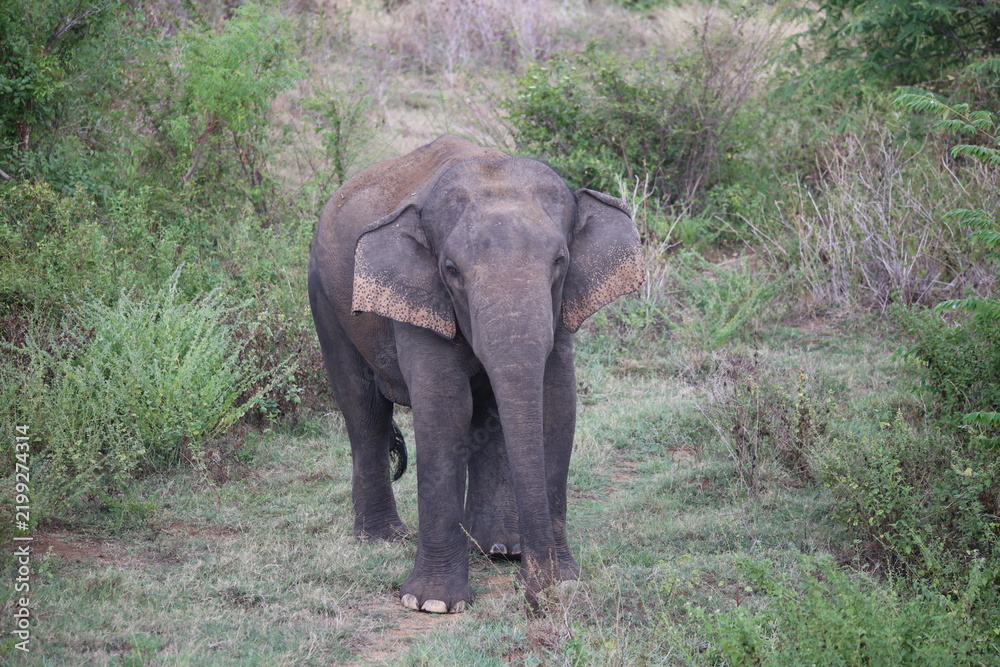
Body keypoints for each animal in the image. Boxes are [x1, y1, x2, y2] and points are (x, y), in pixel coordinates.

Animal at [308, 135, 643, 614]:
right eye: (451, 270)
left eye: (560, 261)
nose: (538, 595)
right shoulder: (421, 297)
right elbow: (445, 407)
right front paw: (432, 604)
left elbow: (555, 403)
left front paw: (563, 582)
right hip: (324, 298)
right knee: (363, 409)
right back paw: (382, 540)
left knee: (484, 411)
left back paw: (497, 548)